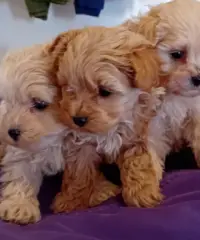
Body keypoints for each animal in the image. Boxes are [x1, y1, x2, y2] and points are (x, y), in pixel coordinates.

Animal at [0, 45, 66, 225]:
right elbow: (21, 173)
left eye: (40, 104)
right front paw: (20, 205)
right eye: (8, 102)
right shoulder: (22, 150)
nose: (12, 131)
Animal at [47, 25, 168, 212]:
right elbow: (79, 173)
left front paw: (142, 195)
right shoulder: (81, 143)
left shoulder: (136, 138)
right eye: (68, 88)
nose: (78, 119)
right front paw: (71, 201)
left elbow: (138, 165)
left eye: (105, 91)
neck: (112, 126)